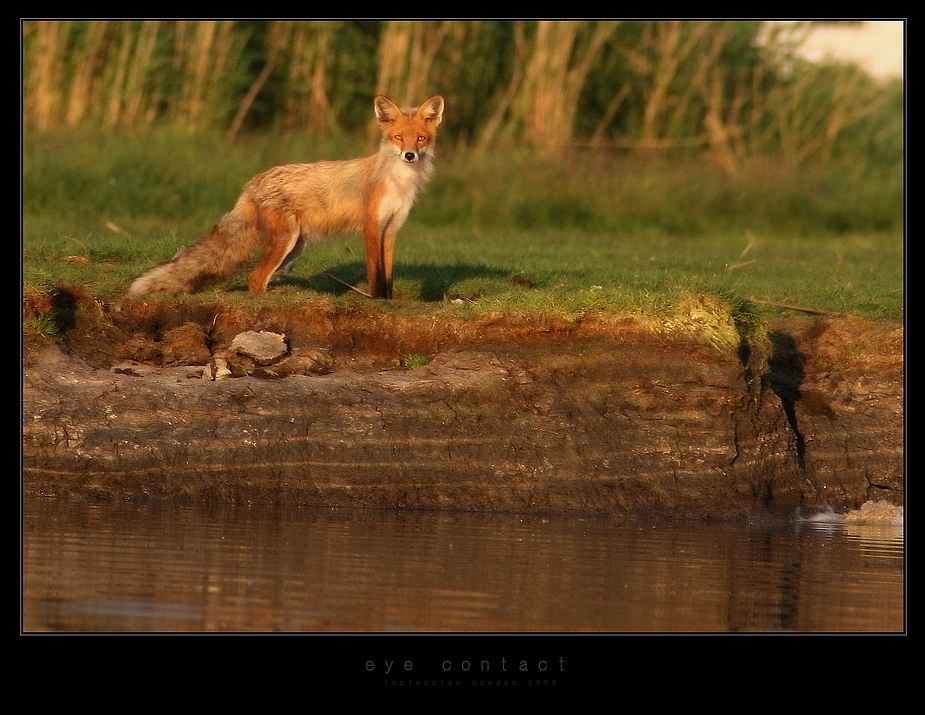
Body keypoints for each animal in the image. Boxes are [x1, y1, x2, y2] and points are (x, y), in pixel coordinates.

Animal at [127, 93, 444, 300]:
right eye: (398, 137)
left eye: (420, 138)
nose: (409, 155)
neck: (398, 182)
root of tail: (252, 183)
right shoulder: (371, 228)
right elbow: (375, 274)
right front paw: (376, 302)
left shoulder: (390, 230)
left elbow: (387, 275)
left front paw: (388, 302)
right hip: (285, 241)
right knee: (254, 278)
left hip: (294, 246)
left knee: (256, 277)